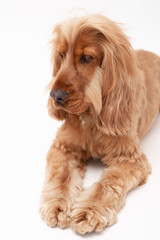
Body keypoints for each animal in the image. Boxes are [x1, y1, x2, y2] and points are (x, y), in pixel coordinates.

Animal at [39, 14, 160, 233]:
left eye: (86, 58)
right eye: (61, 54)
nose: (55, 96)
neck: (90, 119)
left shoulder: (130, 160)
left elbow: (107, 184)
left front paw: (89, 211)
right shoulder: (64, 147)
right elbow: (61, 176)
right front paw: (56, 205)